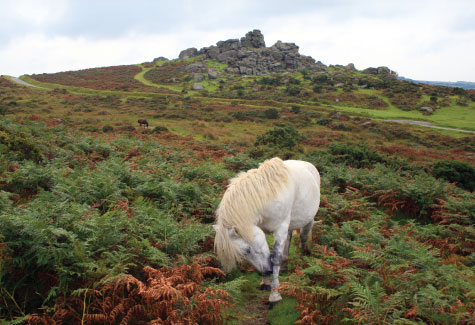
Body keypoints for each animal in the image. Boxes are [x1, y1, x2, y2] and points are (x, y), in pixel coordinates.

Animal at [215, 156, 320, 304]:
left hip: (308, 220)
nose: (268, 271)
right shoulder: (262, 230)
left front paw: (275, 295)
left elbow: (275, 258)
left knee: (304, 237)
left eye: (247, 250)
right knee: (289, 239)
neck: (268, 196)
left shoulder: (280, 230)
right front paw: (265, 283)